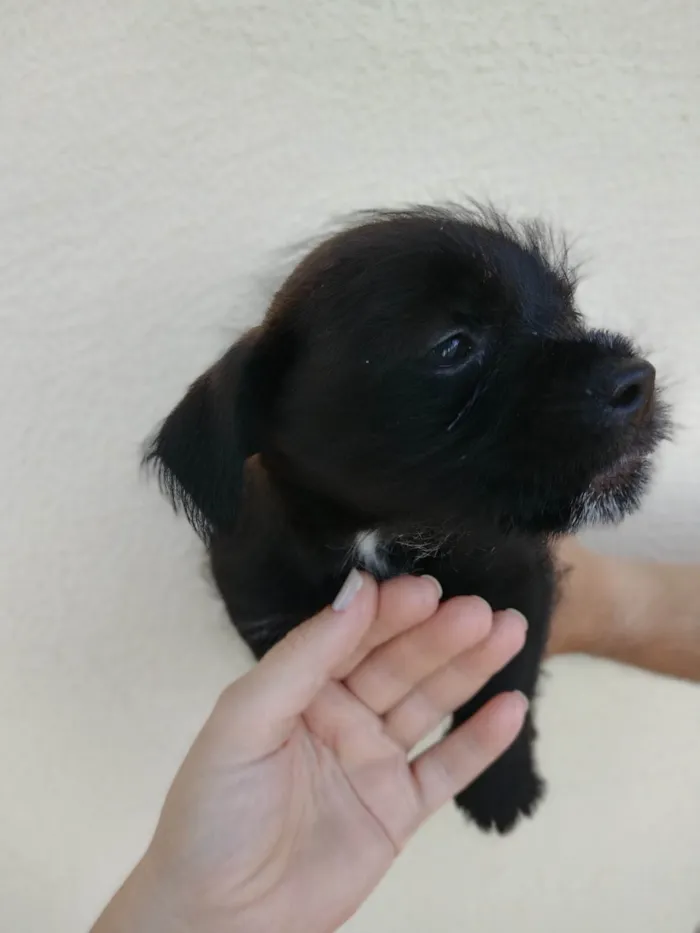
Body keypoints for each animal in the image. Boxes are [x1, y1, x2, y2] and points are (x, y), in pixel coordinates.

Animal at [146, 204, 668, 832]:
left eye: (569, 309)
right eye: (453, 346)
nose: (637, 380)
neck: (387, 532)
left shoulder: (522, 586)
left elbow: (508, 685)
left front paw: (501, 783)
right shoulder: (261, 609)